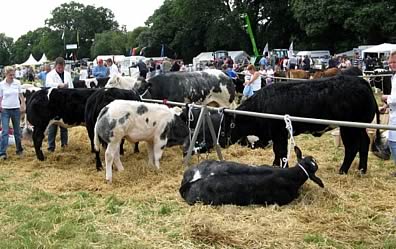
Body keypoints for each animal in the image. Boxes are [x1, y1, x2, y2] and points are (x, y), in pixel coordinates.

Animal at [224, 75, 378, 174]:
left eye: (226, 125)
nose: (221, 142)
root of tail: (361, 81)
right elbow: (278, 152)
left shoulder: (279, 134)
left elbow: (280, 151)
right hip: (359, 128)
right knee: (364, 143)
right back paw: (361, 170)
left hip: (349, 128)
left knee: (352, 147)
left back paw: (343, 170)